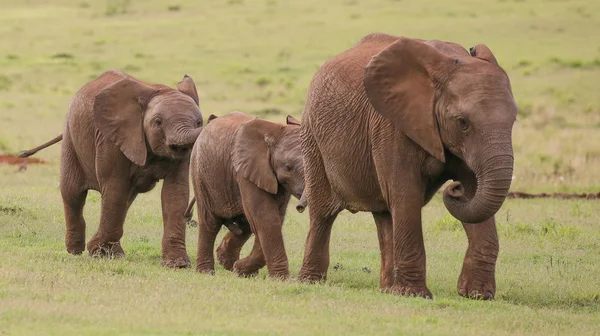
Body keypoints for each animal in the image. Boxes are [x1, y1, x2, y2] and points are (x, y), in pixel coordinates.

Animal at [20, 69, 204, 268]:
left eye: (199, 122)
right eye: (158, 122)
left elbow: (175, 194)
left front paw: (178, 265)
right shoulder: (111, 139)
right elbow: (115, 186)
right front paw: (102, 254)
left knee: (126, 198)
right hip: (71, 136)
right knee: (73, 193)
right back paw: (75, 250)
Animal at [191, 111, 304, 276]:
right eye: (289, 168)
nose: (300, 207)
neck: (275, 132)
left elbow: (274, 217)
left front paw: (240, 269)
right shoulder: (246, 170)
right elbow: (266, 217)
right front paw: (281, 278)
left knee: (245, 223)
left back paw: (228, 263)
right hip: (200, 173)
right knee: (210, 223)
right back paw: (206, 272)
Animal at [298, 34, 516, 300]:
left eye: (514, 119)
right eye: (462, 122)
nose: (455, 189)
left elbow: (475, 192)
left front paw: (477, 295)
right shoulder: (392, 124)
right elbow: (406, 194)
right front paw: (415, 295)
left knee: (385, 214)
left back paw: (387, 290)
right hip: (312, 137)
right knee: (323, 213)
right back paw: (310, 282)